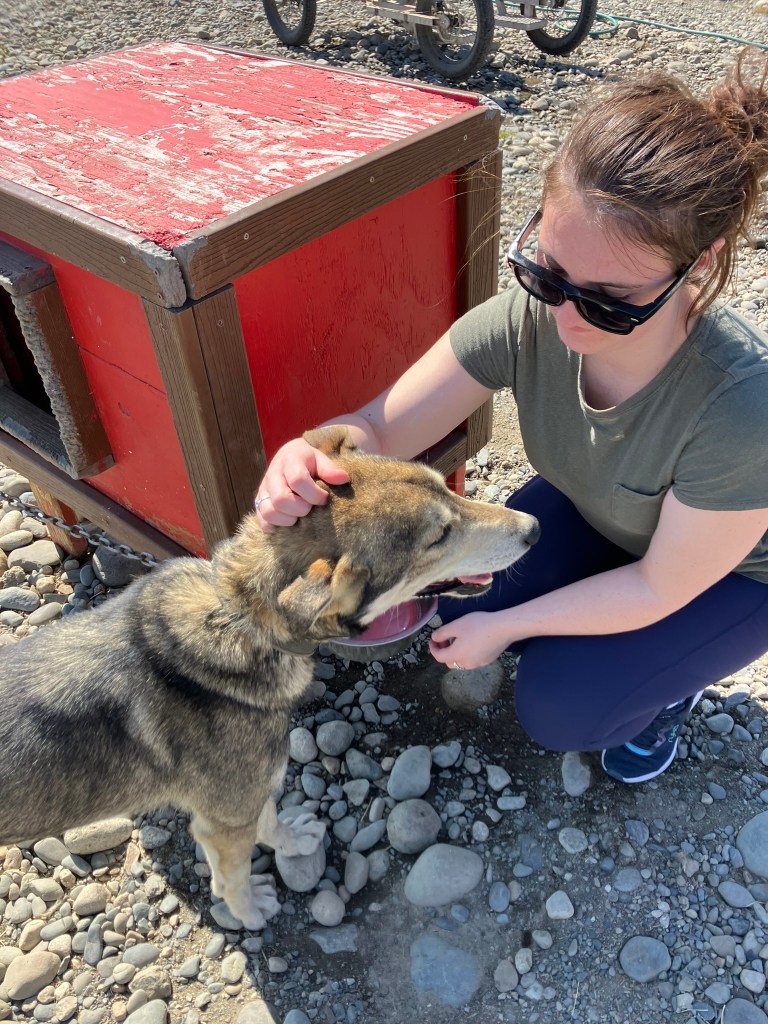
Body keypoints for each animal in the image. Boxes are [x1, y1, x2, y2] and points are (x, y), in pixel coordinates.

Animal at [0, 426, 539, 929]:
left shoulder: (252, 792)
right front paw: (249, 911)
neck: (237, 620)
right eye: (438, 537)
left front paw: (292, 841)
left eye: (447, 488)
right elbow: (231, 875)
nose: (533, 528)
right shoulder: (224, 819)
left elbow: (271, 818)